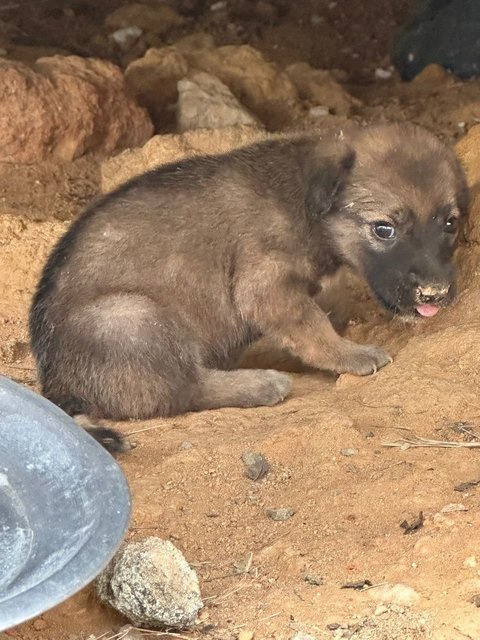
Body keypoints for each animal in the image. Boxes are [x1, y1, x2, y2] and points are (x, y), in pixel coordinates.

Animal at [28, 121, 466, 450]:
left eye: (450, 223)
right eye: (383, 229)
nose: (435, 293)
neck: (305, 206)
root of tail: (56, 384)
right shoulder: (265, 286)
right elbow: (314, 327)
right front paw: (350, 354)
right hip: (131, 317)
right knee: (183, 390)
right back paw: (260, 383)